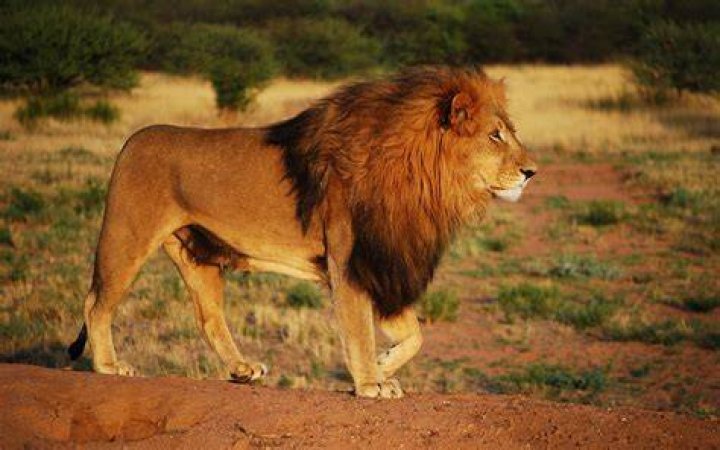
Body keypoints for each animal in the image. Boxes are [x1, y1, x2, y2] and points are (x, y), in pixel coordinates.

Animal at [68, 66, 537, 398]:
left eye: (508, 133)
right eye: (495, 136)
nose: (532, 171)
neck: (423, 179)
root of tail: (132, 140)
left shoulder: (381, 263)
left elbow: (415, 335)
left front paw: (382, 366)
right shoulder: (351, 262)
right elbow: (359, 329)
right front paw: (370, 383)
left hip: (198, 255)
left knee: (209, 318)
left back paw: (242, 370)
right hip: (126, 237)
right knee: (96, 303)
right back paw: (109, 366)